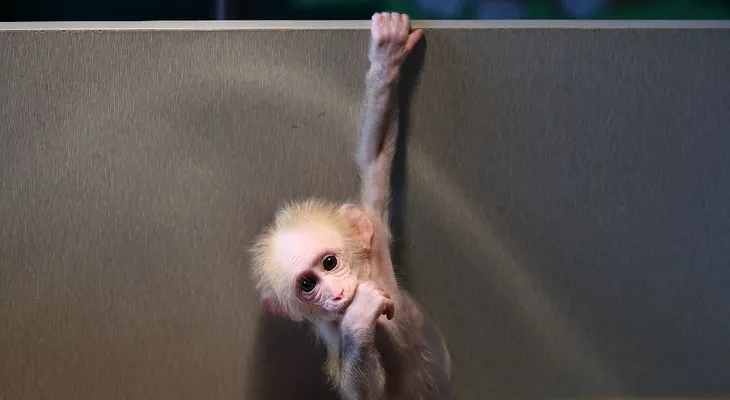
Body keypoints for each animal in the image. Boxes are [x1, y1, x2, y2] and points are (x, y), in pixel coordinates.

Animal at [250, 12, 451, 400]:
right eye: (308, 284)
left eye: (330, 263)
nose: (336, 293)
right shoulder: (334, 334)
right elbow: (366, 393)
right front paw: (359, 321)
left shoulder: (377, 237)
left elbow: (374, 156)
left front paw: (388, 57)